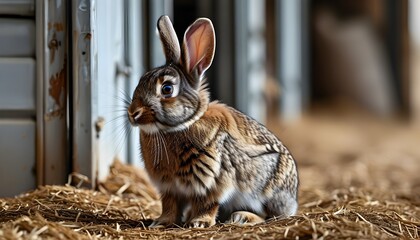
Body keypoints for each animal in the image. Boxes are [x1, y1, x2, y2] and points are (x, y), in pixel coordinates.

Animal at [126, 15, 300, 228]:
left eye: (167, 89)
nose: (133, 113)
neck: (183, 124)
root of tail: (293, 202)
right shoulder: (170, 188)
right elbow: (170, 205)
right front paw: (161, 222)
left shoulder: (212, 180)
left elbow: (207, 203)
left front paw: (198, 223)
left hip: (266, 191)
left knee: (269, 215)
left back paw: (242, 217)